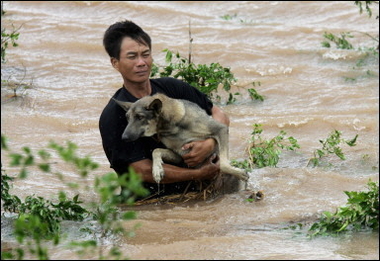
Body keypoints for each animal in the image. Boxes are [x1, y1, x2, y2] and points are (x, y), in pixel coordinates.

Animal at [113, 93, 249, 187]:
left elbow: (223, 164)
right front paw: (157, 169)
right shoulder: (180, 154)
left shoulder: (220, 129)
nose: (123, 138)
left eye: (140, 117)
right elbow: (156, 151)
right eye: (127, 118)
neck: (170, 126)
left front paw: (240, 173)